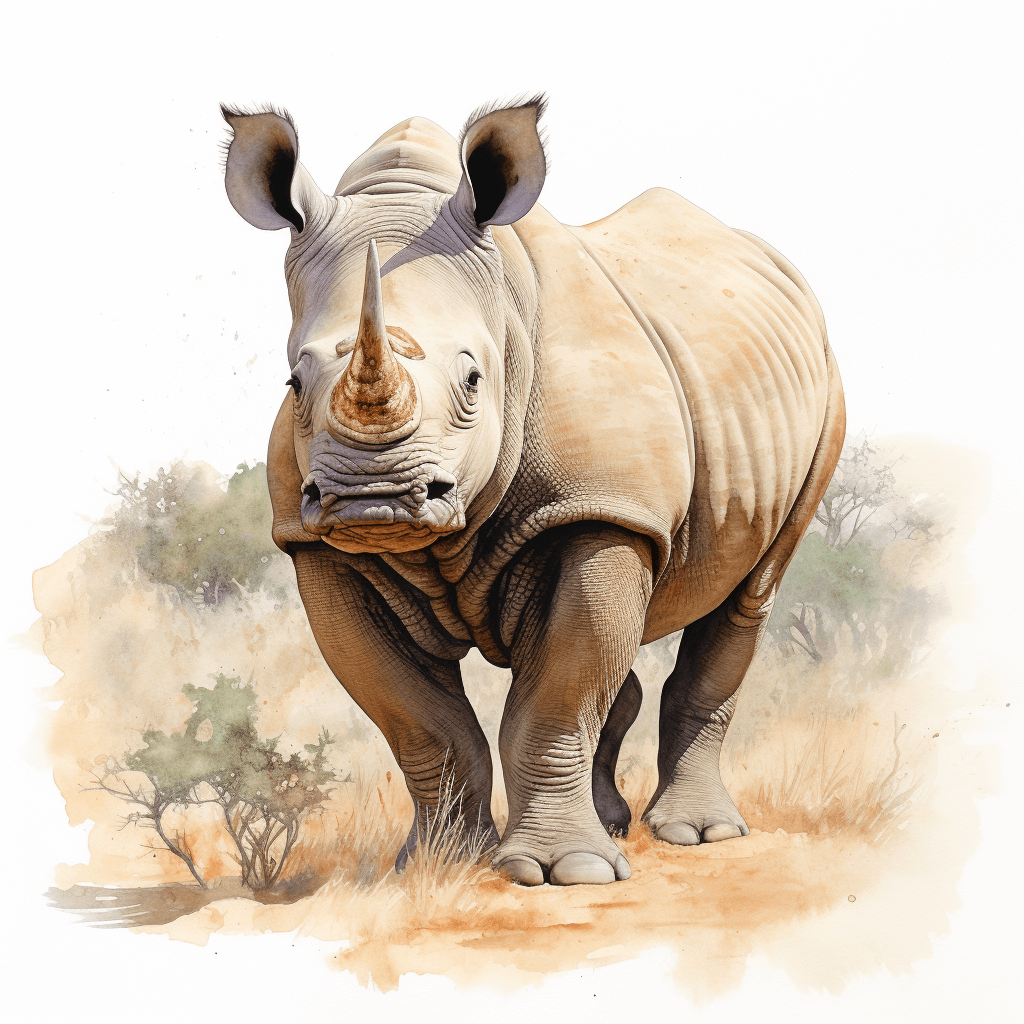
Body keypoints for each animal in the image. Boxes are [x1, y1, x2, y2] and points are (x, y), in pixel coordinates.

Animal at [221, 96, 844, 886]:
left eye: (473, 379)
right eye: (294, 384)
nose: (372, 498)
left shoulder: (601, 510)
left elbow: (556, 697)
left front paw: (562, 874)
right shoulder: (316, 546)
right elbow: (420, 720)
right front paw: (440, 864)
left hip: (826, 389)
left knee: (750, 592)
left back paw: (697, 835)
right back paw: (615, 824)